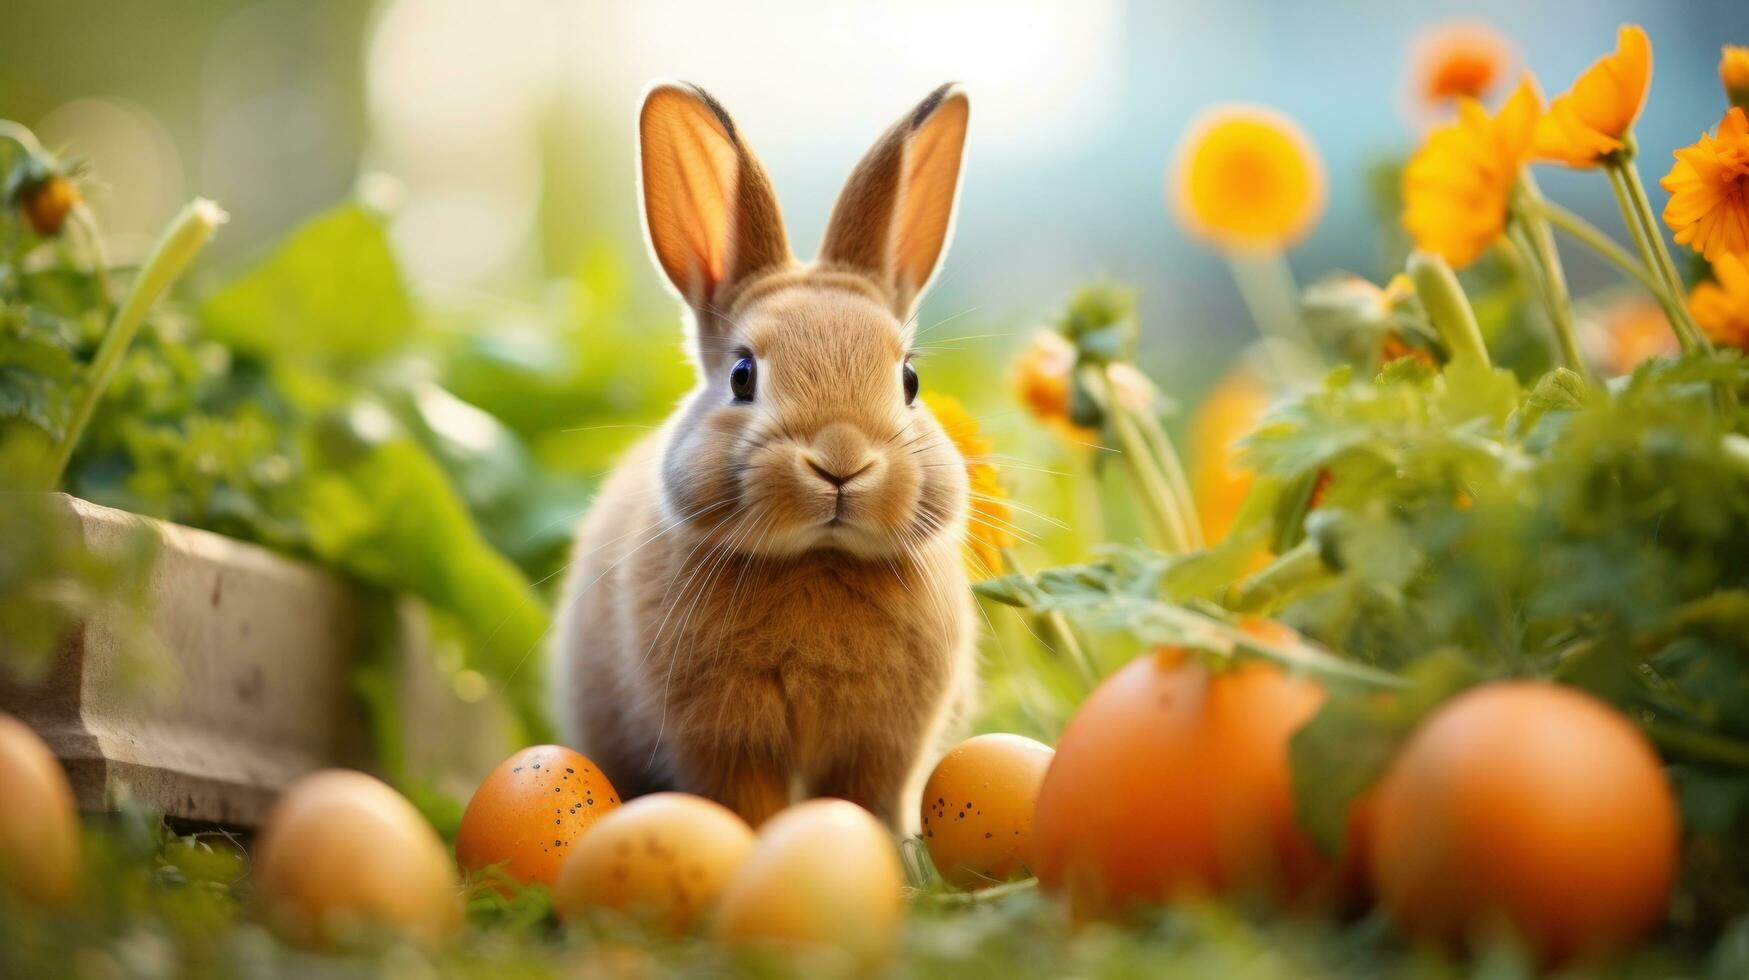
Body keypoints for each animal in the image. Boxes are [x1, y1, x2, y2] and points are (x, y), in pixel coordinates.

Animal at [552, 80, 979, 829]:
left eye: (909, 381)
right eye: (742, 375)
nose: (840, 460)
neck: (815, 559)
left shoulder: (880, 752)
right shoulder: (722, 743)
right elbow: (746, 808)